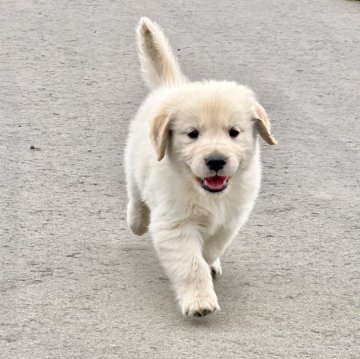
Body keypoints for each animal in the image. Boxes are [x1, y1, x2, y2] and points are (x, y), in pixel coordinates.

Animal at [125, 17, 278, 318]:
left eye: (234, 132)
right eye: (192, 134)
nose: (216, 161)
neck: (205, 192)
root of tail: (172, 87)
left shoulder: (231, 218)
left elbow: (210, 247)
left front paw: (210, 262)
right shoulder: (175, 224)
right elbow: (190, 264)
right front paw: (199, 301)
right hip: (135, 165)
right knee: (136, 196)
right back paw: (137, 221)